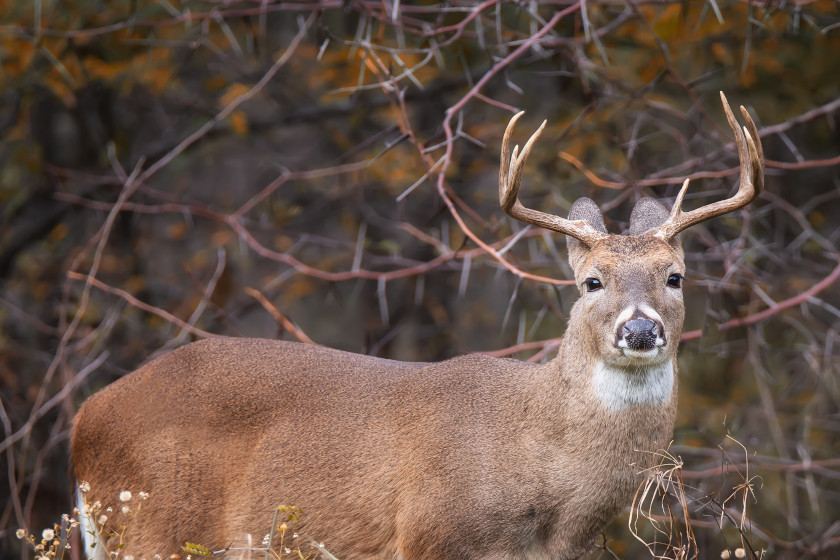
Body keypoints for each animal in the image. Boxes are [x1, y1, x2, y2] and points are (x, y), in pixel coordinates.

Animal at [75, 93, 764, 560]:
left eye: (675, 277)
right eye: (591, 281)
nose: (641, 331)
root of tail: (87, 416)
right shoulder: (429, 535)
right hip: (153, 527)